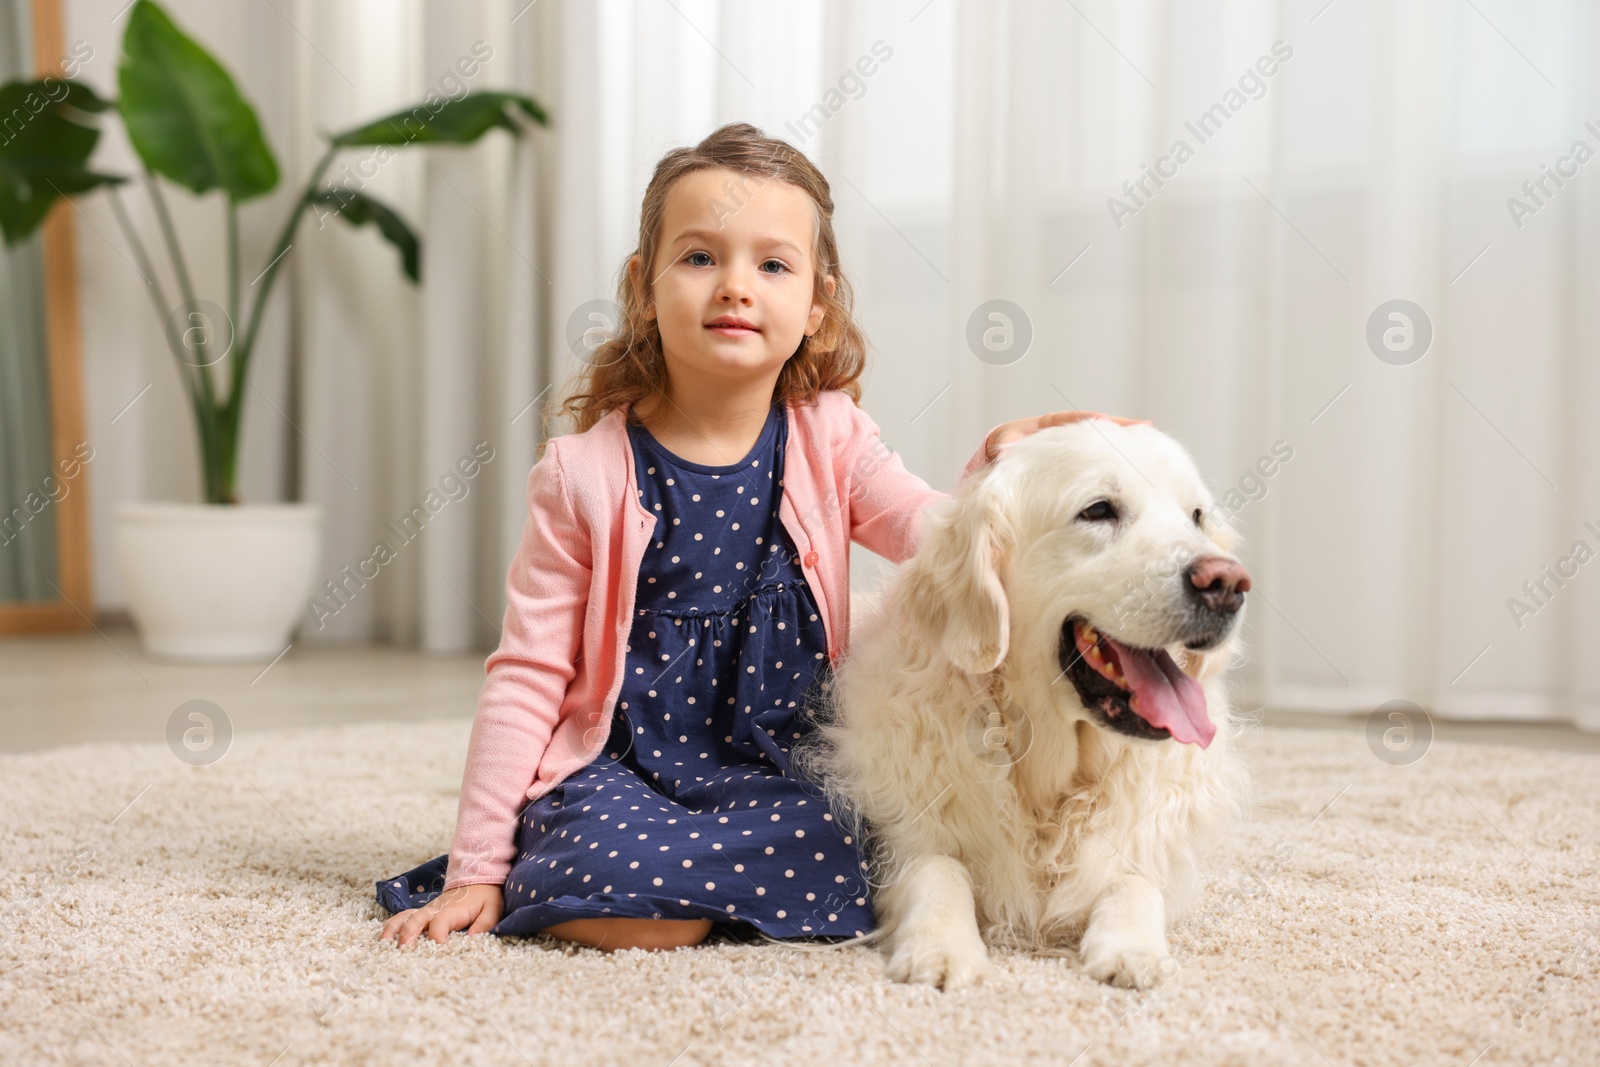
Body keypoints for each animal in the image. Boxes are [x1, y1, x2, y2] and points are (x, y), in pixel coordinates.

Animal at [800, 422, 1248, 991]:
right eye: (1099, 510)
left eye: (1197, 517)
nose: (1228, 584)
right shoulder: (902, 834)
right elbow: (938, 868)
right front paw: (940, 948)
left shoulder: (1143, 840)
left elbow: (1133, 882)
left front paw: (1131, 949)